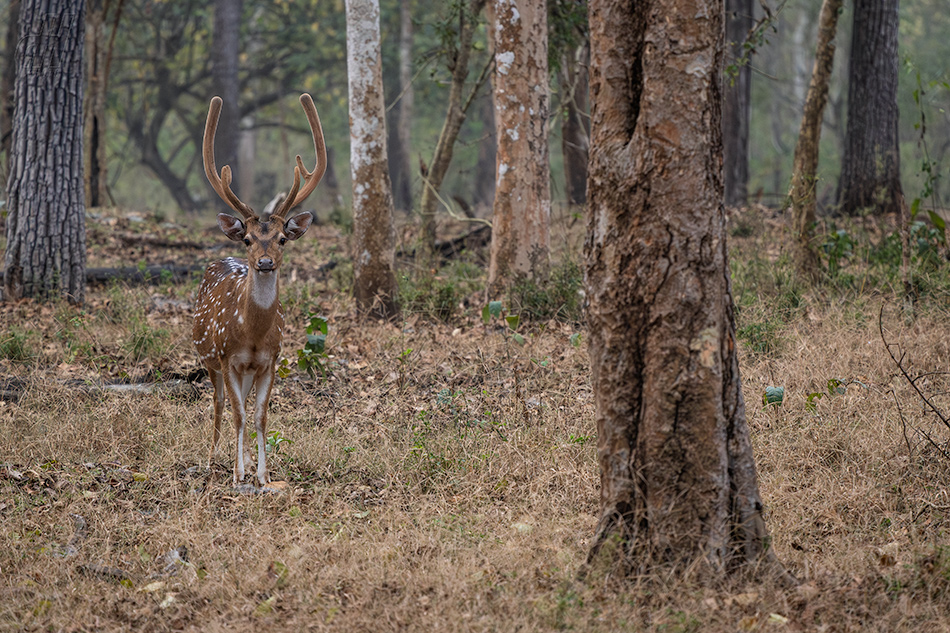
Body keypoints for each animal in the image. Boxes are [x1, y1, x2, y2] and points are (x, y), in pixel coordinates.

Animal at [193, 94, 328, 486]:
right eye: (249, 239)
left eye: (283, 238)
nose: (265, 262)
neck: (251, 334)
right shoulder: (227, 357)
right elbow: (238, 414)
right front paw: (239, 475)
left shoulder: (270, 359)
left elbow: (260, 415)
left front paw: (263, 475)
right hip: (209, 359)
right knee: (219, 404)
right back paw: (212, 459)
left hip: (246, 370)